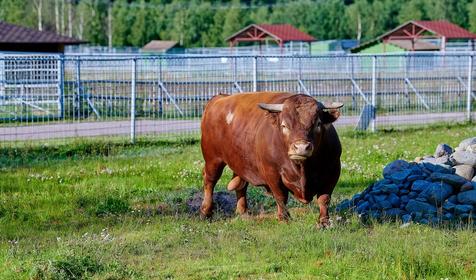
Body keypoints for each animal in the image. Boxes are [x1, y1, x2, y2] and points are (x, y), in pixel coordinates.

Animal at [200, 92, 342, 228]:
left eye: (318, 124)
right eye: (284, 125)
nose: (301, 147)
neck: (302, 168)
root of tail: (220, 97)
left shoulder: (333, 171)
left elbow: (324, 199)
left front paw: (324, 222)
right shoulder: (272, 173)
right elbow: (280, 196)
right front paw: (284, 218)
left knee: (241, 186)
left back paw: (243, 212)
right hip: (213, 159)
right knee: (210, 181)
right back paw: (206, 212)